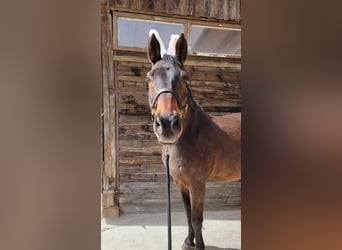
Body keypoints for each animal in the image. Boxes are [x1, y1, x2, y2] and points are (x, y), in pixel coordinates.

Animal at [146, 33, 240, 250]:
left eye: (185, 78)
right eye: (149, 78)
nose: (167, 123)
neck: (190, 136)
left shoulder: (197, 183)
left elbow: (197, 218)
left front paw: (199, 246)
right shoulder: (181, 182)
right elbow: (188, 213)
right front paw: (189, 241)